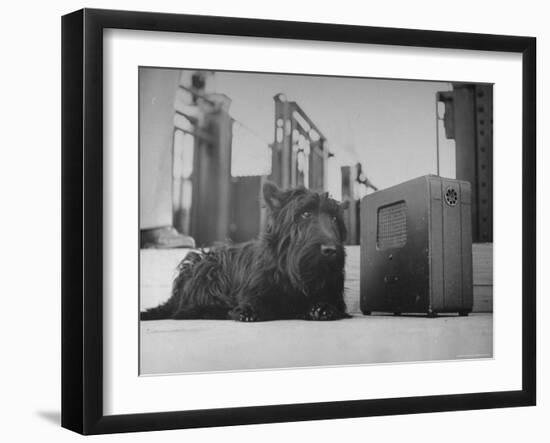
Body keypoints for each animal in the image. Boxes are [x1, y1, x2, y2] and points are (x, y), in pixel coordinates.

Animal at [140, 182, 352, 324]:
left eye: (334, 218)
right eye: (306, 214)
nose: (330, 250)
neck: (295, 271)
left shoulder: (334, 296)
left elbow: (331, 304)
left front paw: (323, 308)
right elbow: (256, 302)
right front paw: (248, 311)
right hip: (205, 266)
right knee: (185, 311)